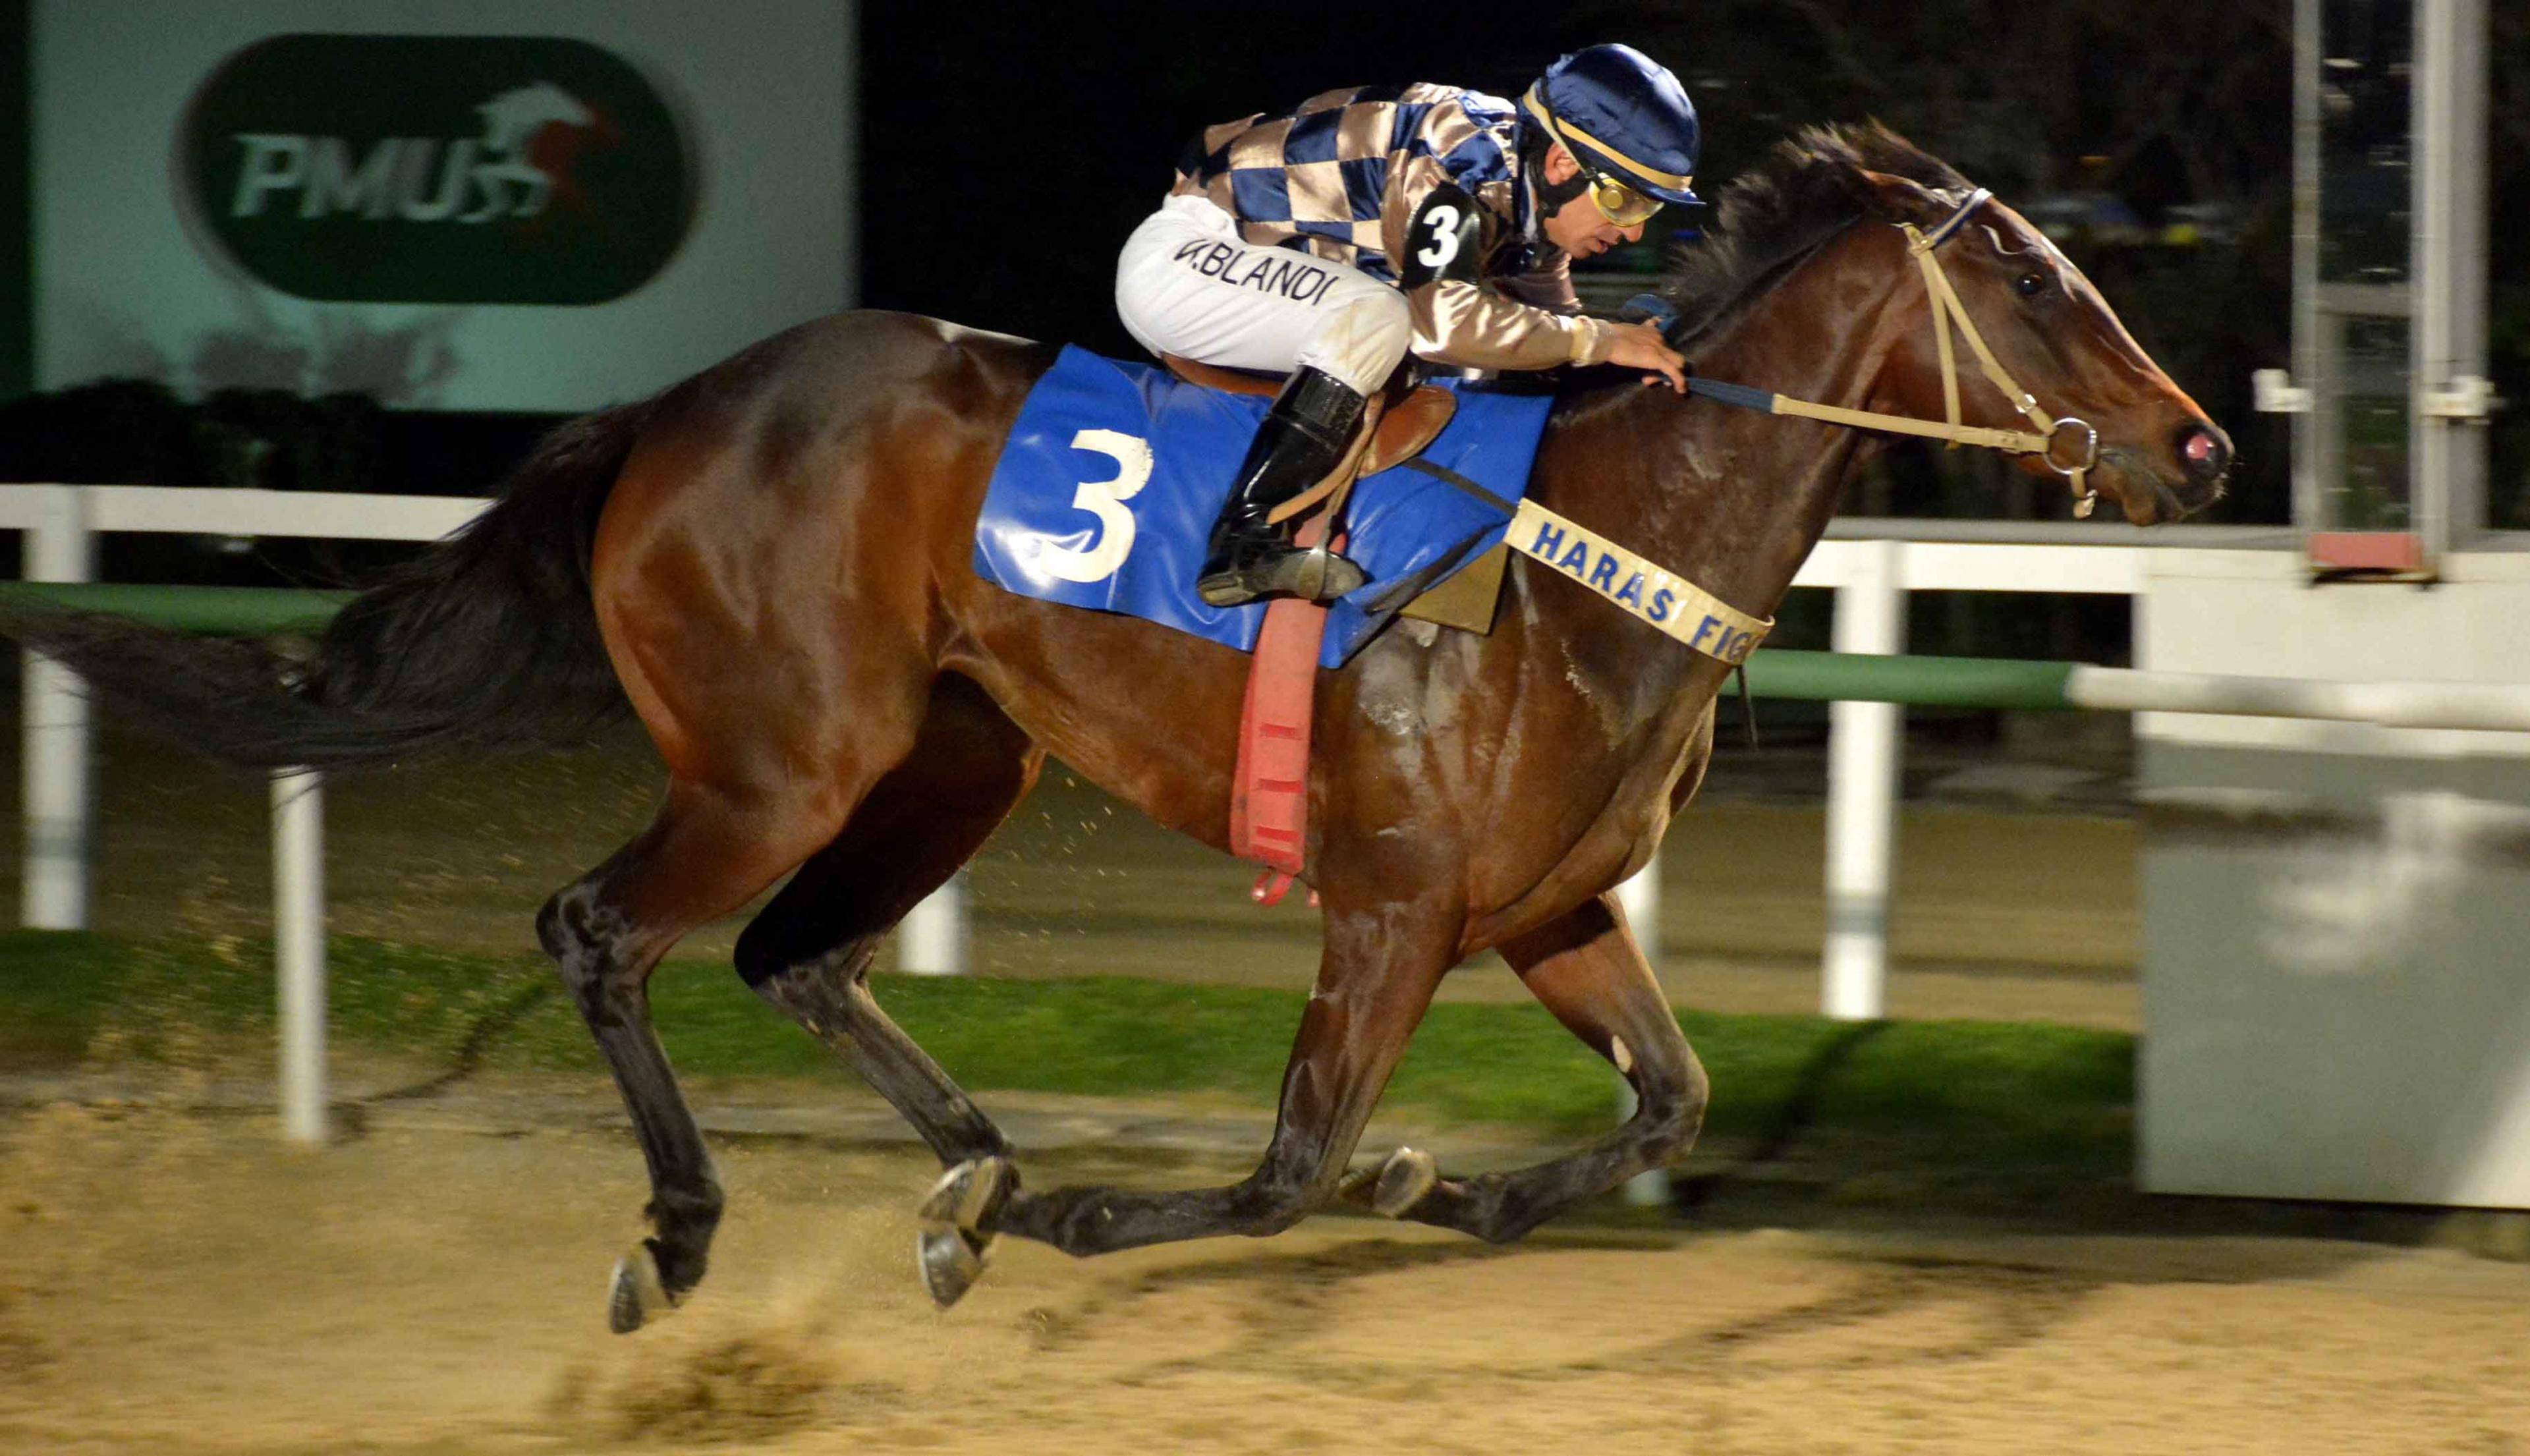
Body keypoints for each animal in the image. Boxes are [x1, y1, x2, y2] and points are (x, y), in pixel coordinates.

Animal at [0, 125, 2226, 1334]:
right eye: (2041, 287)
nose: (2200, 445)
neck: (1600, 546)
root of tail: (674, 410)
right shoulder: (1391, 909)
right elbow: (1290, 1164)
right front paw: (1123, 1209)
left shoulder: (1547, 909)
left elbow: (1663, 1105)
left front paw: (1455, 1192)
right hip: (775, 759)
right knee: (603, 931)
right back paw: (702, 1230)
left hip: (955, 751)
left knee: (793, 955)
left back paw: (972, 1173)